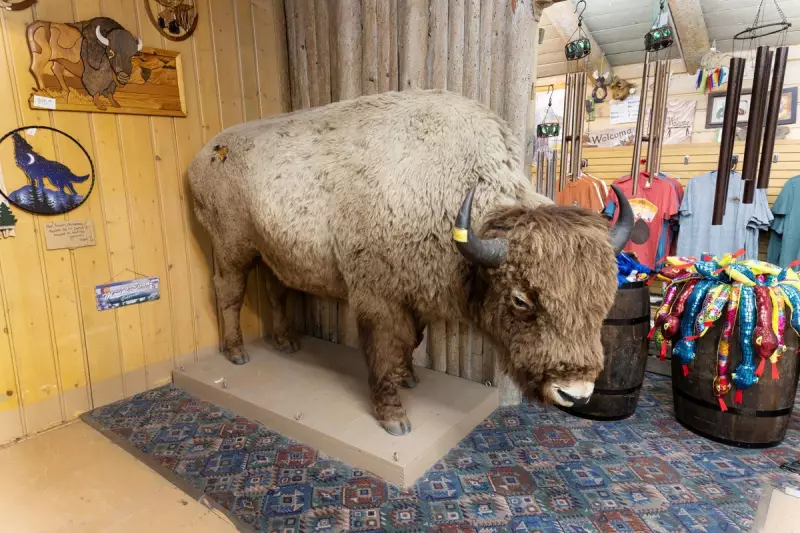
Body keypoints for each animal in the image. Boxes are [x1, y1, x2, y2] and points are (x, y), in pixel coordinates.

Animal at [189, 90, 633, 436]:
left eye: (605, 299)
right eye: (521, 300)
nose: (574, 393)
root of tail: (203, 156)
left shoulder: (414, 292)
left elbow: (412, 341)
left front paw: (411, 377)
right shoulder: (377, 300)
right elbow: (385, 351)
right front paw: (395, 419)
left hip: (273, 252)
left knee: (276, 291)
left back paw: (286, 342)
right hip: (232, 248)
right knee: (228, 290)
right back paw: (237, 353)